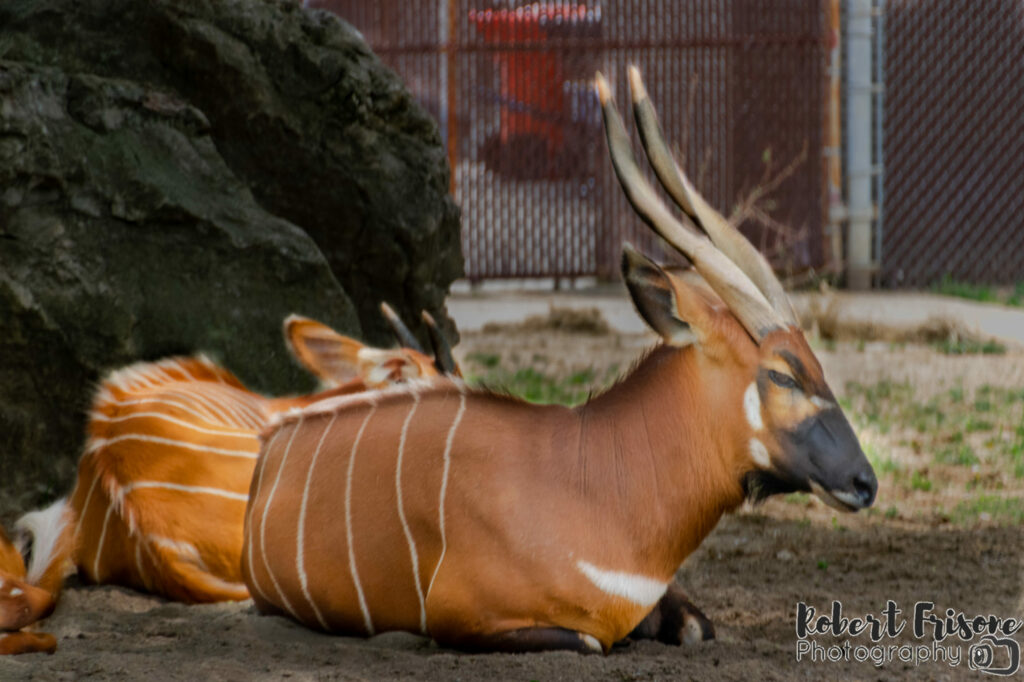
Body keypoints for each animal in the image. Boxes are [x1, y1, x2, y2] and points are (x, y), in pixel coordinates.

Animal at [241, 66, 880, 651]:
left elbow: (698, 628)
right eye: (781, 372)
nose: (864, 481)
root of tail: (271, 450)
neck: (591, 483)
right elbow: (593, 640)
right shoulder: (469, 621)